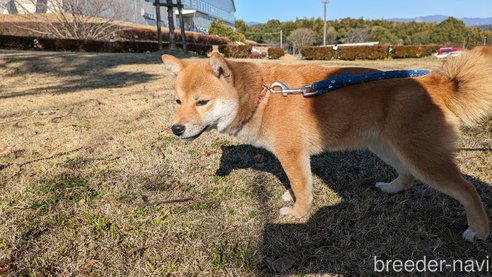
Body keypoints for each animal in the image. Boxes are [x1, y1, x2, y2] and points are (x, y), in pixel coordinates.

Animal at [162, 50, 492, 240]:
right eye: (178, 102)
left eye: (202, 102)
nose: (176, 128)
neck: (263, 97)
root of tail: (435, 81)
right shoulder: (292, 157)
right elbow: (297, 184)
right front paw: (292, 198)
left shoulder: (293, 154)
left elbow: (303, 188)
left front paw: (298, 214)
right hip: (388, 147)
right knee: (408, 177)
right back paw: (391, 188)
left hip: (421, 155)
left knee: (467, 190)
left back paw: (479, 230)